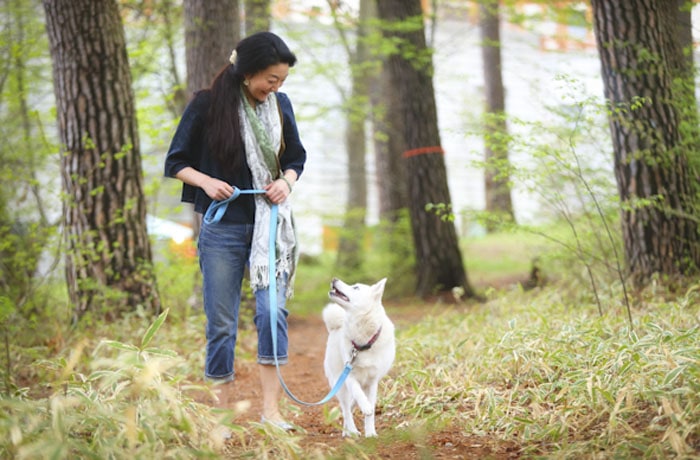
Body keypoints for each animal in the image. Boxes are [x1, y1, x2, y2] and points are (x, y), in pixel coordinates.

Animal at [322, 274, 394, 436]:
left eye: (356, 287)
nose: (334, 279)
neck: (363, 343)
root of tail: (334, 327)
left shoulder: (373, 381)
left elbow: (370, 410)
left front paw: (371, 433)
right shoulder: (349, 374)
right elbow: (357, 393)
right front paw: (365, 407)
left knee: (350, 405)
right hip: (340, 382)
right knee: (346, 408)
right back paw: (352, 431)